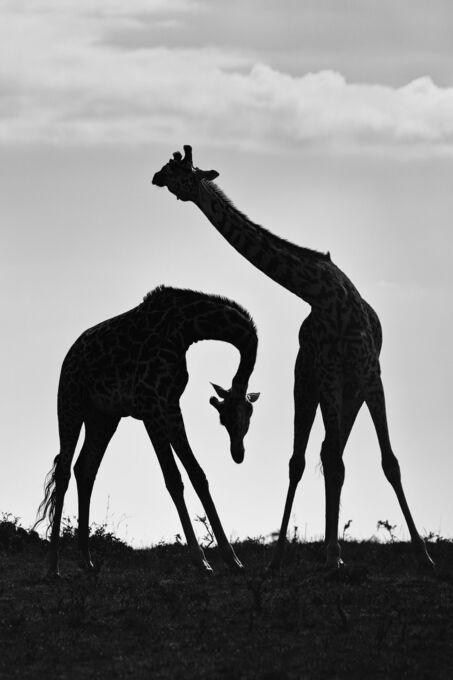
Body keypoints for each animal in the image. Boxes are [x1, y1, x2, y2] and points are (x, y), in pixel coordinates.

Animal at [35, 285, 259, 577]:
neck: (186, 328)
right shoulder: (149, 405)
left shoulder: (170, 404)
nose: (238, 454)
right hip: (70, 403)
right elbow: (173, 479)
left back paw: (87, 561)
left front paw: (232, 559)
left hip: (103, 417)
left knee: (85, 469)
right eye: (225, 419)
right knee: (63, 472)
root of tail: (69, 356)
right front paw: (201, 561)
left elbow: (197, 474)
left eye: (249, 418)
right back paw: (53, 567)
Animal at [152, 145, 434, 570]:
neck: (321, 292)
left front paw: (423, 555)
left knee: (330, 451)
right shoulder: (329, 373)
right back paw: (282, 555)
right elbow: (331, 461)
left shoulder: (370, 375)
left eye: (179, 169)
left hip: (349, 392)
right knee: (304, 459)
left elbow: (389, 461)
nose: (155, 177)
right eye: (168, 167)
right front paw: (332, 556)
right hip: (308, 382)